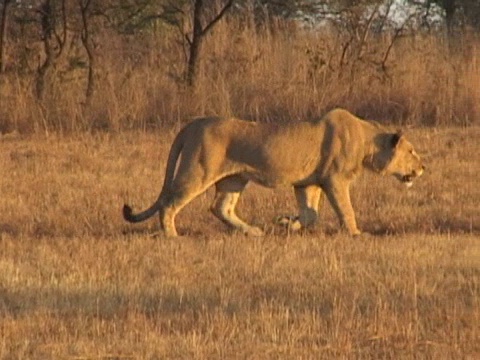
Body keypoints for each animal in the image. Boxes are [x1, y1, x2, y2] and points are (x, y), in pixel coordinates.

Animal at [124, 108, 424, 238]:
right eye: (412, 151)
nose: (423, 167)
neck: (367, 142)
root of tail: (192, 124)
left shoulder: (308, 183)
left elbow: (310, 215)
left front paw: (285, 222)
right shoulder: (335, 180)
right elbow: (345, 209)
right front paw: (355, 233)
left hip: (234, 179)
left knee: (221, 207)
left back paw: (253, 232)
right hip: (198, 170)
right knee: (169, 202)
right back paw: (172, 235)